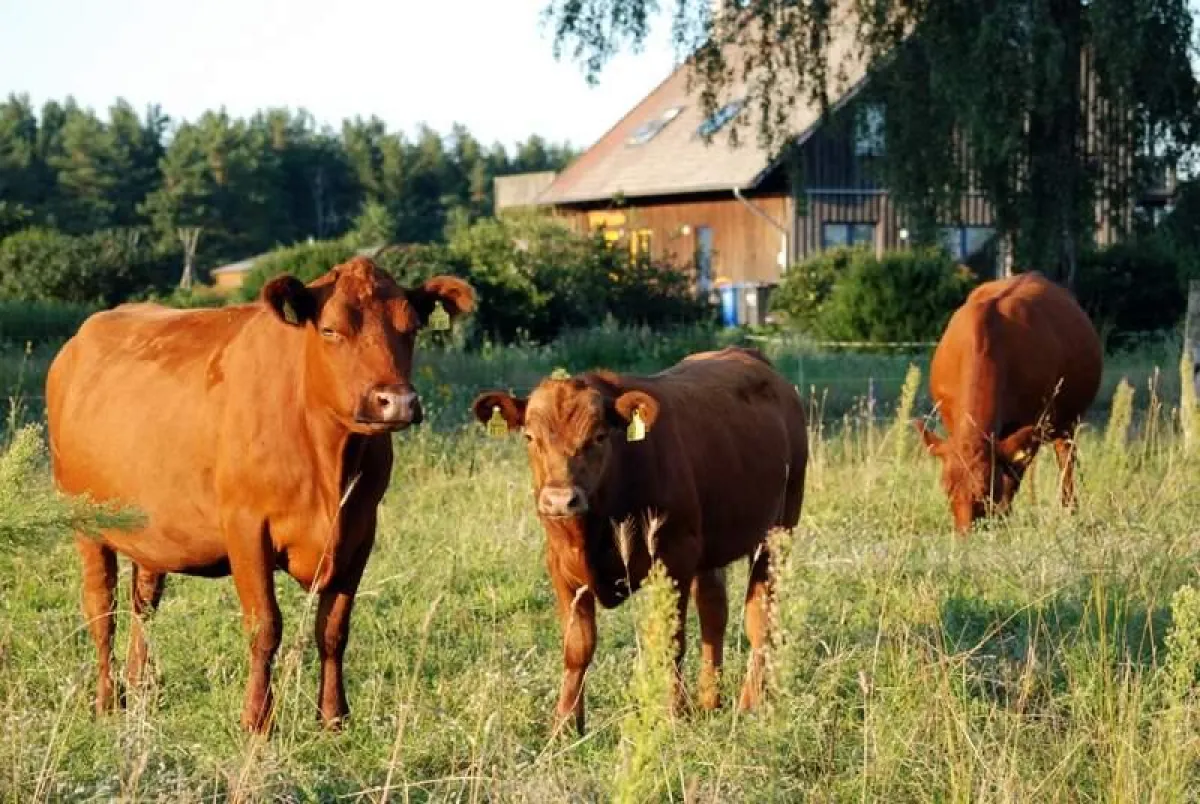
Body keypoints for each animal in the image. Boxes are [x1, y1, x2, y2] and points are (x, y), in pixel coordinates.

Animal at [46, 256, 474, 733]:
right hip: (85, 521)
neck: (329, 461)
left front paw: (333, 717)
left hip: (148, 529)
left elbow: (334, 628)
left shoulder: (360, 531)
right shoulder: (246, 528)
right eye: (330, 330)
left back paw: (140, 686)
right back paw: (107, 701)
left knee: (145, 603)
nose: (396, 402)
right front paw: (257, 720)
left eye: (411, 329)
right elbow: (265, 626)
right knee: (102, 608)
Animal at [471, 346, 808, 734]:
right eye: (529, 437)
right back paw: (710, 700)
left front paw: (674, 715)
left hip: (777, 532)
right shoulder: (561, 567)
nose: (559, 500)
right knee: (714, 611)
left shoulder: (674, 558)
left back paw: (749, 704)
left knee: (758, 618)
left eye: (599, 436)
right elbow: (577, 647)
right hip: (711, 549)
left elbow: (669, 640)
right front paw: (565, 725)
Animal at [913, 271, 1102, 532]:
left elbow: (1011, 478)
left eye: (985, 490)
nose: (964, 534)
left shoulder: (1030, 425)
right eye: (947, 489)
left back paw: (1070, 512)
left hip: (1068, 422)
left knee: (1066, 462)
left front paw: (1002, 517)